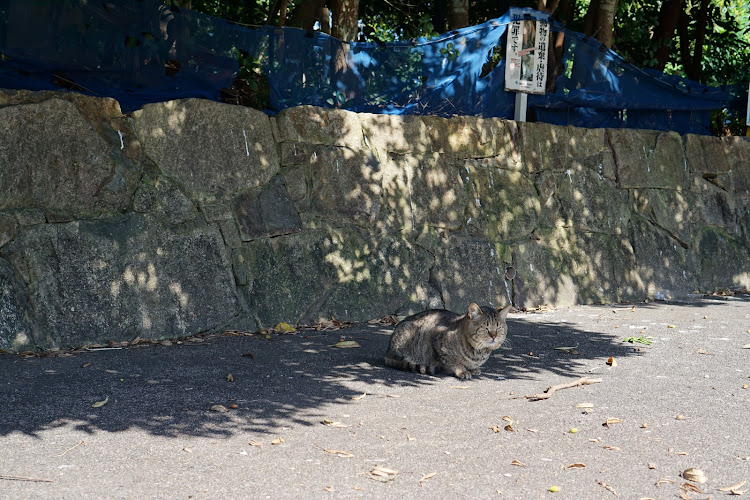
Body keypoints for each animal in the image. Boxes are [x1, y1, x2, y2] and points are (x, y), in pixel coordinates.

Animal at [384, 302, 516, 380]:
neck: (479, 352)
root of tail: (388, 352)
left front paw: (472, 369)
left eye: (498, 328)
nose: (494, 336)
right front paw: (462, 370)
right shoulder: (439, 341)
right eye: (486, 328)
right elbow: (455, 362)